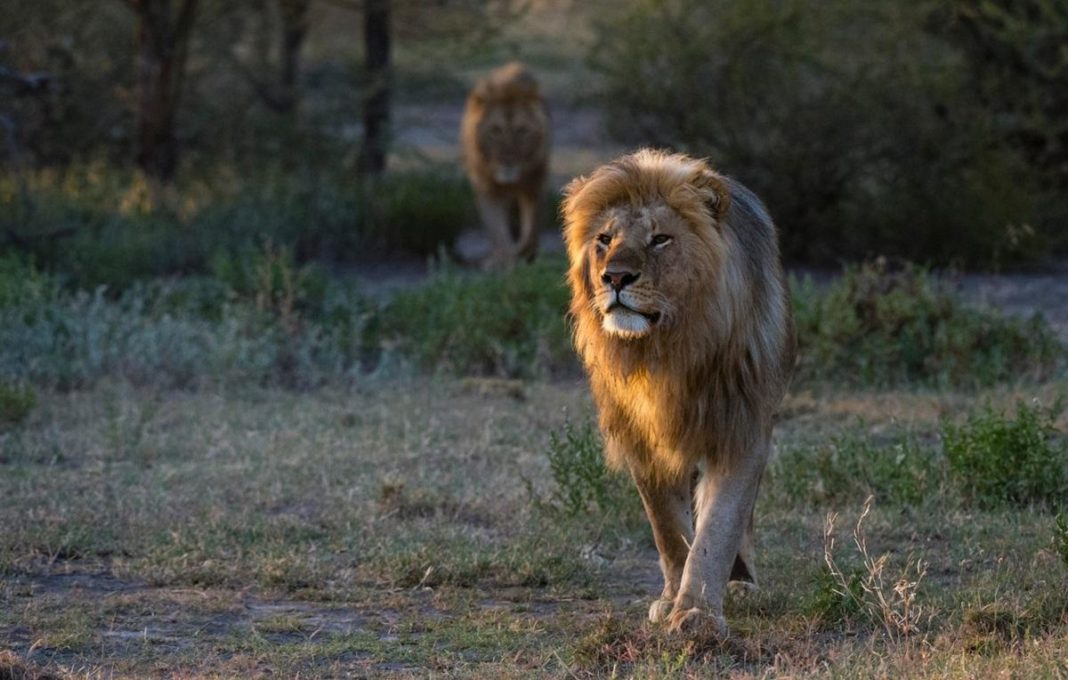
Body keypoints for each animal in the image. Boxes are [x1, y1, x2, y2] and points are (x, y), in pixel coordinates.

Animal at [459, 60, 551, 267]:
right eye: (495, 130)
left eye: (522, 130)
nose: (507, 160)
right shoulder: (487, 188)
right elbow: (498, 231)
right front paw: (507, 262)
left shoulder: (535, 182)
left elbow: (531, 227)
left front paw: (525, 253)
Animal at [563, 148, 798, 636]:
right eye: (604, 239)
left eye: (660, 240)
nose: (615, 278)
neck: (666, 351)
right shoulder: (641, 438)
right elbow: (668, 530)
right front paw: (673, 599)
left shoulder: (741, 427)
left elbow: (719, 527)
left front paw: (697, 613)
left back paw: (741, 584)